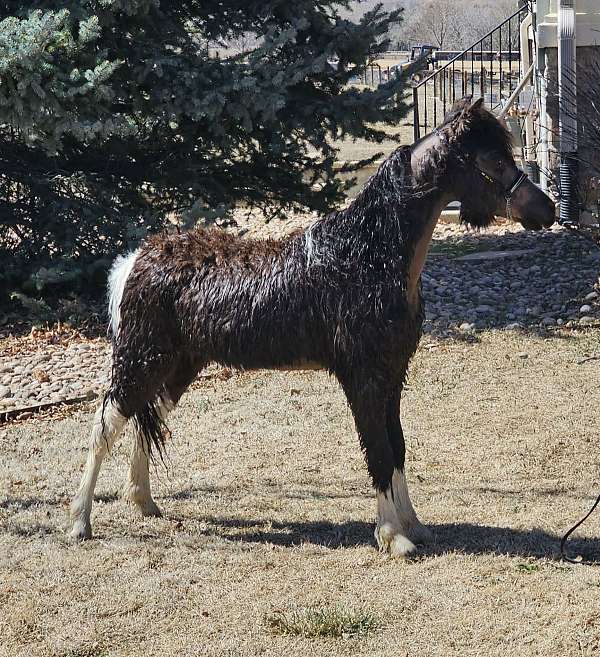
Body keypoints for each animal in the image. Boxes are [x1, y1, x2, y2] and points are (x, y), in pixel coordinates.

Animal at [70, 97, 556, 555]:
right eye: (493, 161)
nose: (546, 209)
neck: (364, 254)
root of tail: (136, 259)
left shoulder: (392, 374)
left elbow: (397, 446)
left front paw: (414, 525)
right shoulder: (363, 377)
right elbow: (378, 451)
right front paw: (393, 537)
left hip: (178, 366)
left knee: (144, 419)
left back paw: (144, 503)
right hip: (140, 360)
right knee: (105, 425)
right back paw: (79, 523)